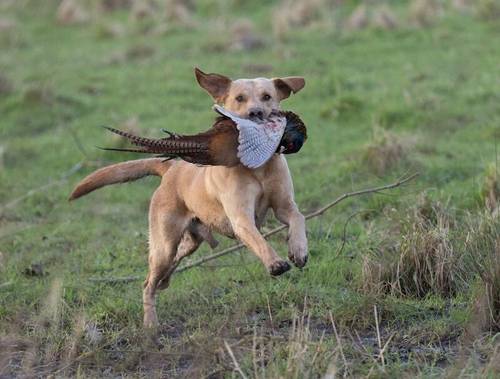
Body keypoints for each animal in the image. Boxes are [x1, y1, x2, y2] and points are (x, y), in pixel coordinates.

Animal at [68, 67, 306, 326]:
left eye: (267, 96)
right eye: (239, 98)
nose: (256, 113)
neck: (259, 168)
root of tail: (171, 168)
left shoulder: (284, 206)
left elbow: (298, 217)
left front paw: (298, 250)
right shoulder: (241, 219)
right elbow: (259, 240)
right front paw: (275, 263)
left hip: (189, 241)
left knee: (172, 263)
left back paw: (164, 282)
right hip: (164, 245)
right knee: (148, 282)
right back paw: (151, 322)